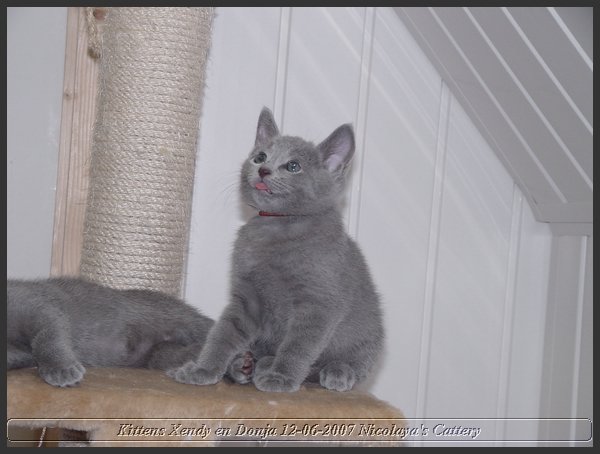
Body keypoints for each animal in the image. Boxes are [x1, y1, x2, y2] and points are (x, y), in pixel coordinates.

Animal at [169, 108, 384, 392]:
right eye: (260, 156)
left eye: (293, 166)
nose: (263, 170)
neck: (277, 227)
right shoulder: (246, 298)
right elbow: (223, 333)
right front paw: (203, 369)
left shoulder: (319, 303)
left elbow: (298, 345)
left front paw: (281, 377)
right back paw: (246, 365)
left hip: (367, 337)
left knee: (351, 365)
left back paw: (336, 372)